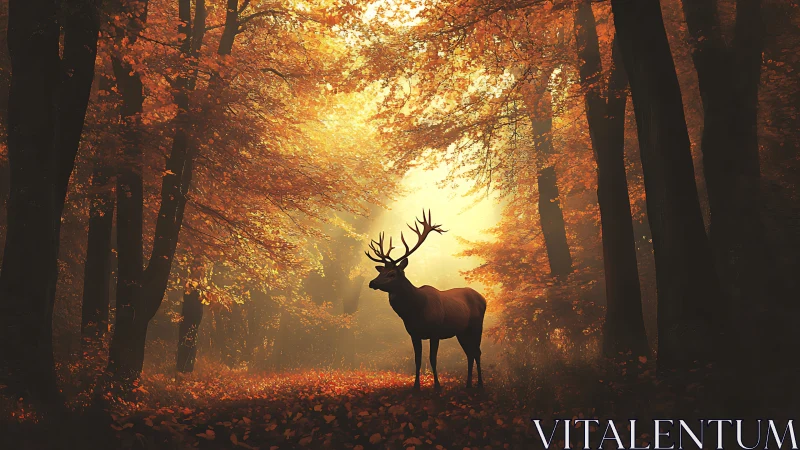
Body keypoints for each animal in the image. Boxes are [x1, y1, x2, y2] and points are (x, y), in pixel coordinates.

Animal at [366, 210, 487, 391]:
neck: (416, 310)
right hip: (461, 331)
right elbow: (417, 360)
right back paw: (467, 385)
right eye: (381, 272)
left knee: (477, 352)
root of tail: (484, 299)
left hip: (477, 325)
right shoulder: (414, 334)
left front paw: (437, 386)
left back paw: (479, 384)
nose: (372, 283)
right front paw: (416, 387)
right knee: (469, 353)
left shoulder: (435, 331)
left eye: (392, 274)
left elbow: (432, 359)